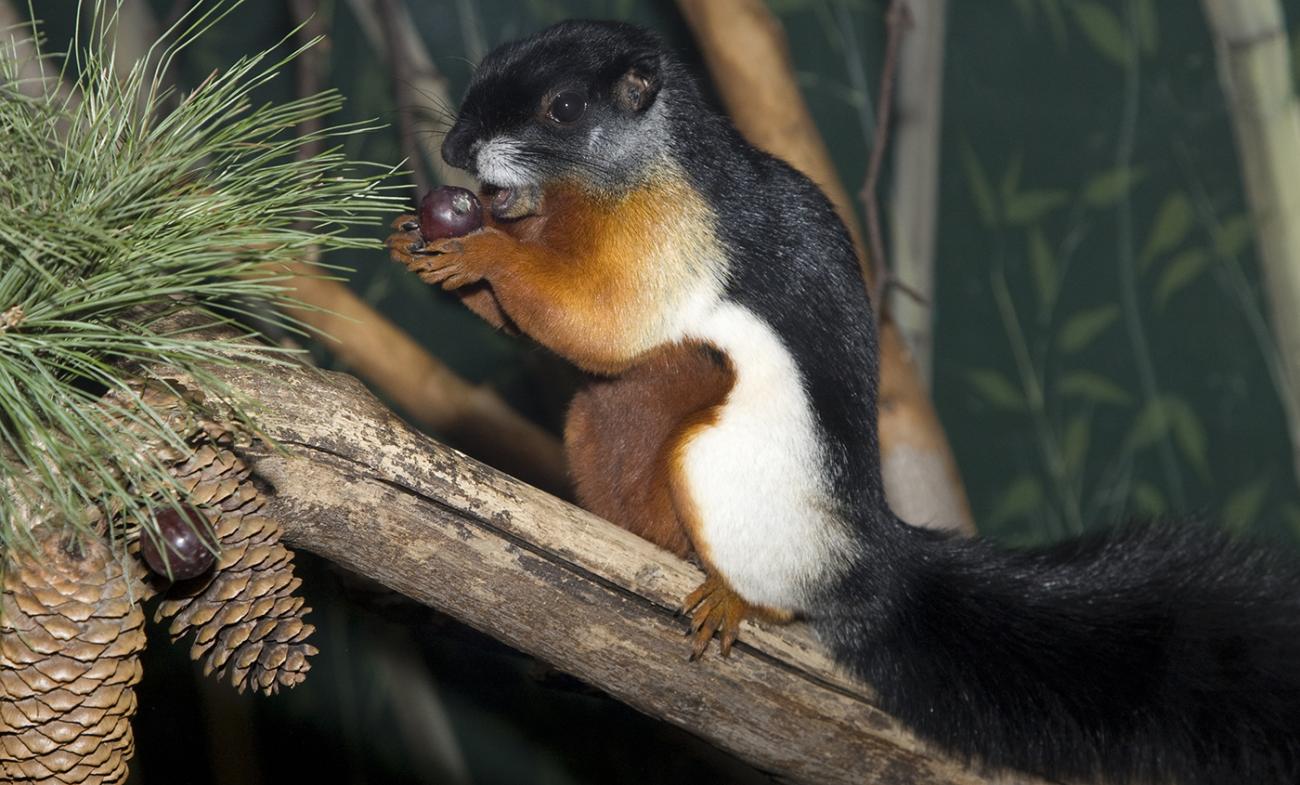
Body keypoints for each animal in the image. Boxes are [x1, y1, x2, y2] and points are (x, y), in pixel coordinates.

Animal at [384, 18, 1300, 785]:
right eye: (487, 65)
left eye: (565, 107)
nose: (456, 144)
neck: (609, 185)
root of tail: (870, 562)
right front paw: (420, 241)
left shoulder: (672, 238)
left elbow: (603, 319)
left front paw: (484, 252)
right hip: (600, 424)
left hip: (719, 469)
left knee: (777, 589)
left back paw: (732, 597)